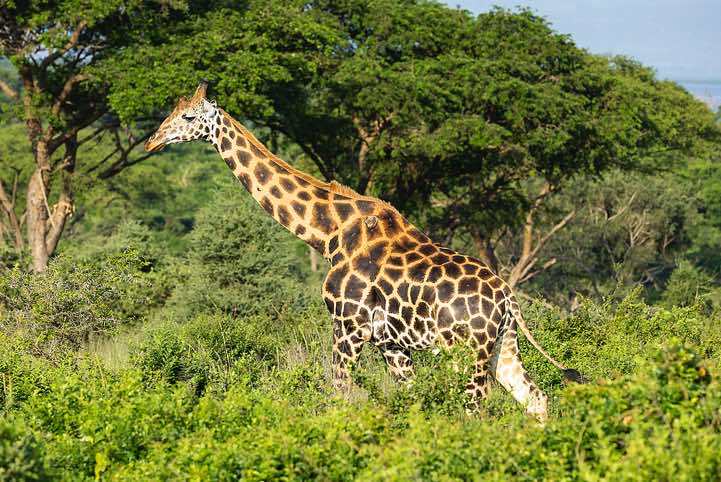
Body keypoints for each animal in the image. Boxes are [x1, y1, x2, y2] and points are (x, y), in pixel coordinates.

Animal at [145, 82, 584, 421]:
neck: (328, 235)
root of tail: (509, 299)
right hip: (502, 346)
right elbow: (412, 400)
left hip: (464, 350)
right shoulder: (390, 342)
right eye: (172, 111)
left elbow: (338, 393)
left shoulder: (349, 325)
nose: (151, 141)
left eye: (189, 118)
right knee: (535, 397)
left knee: (474, 408)